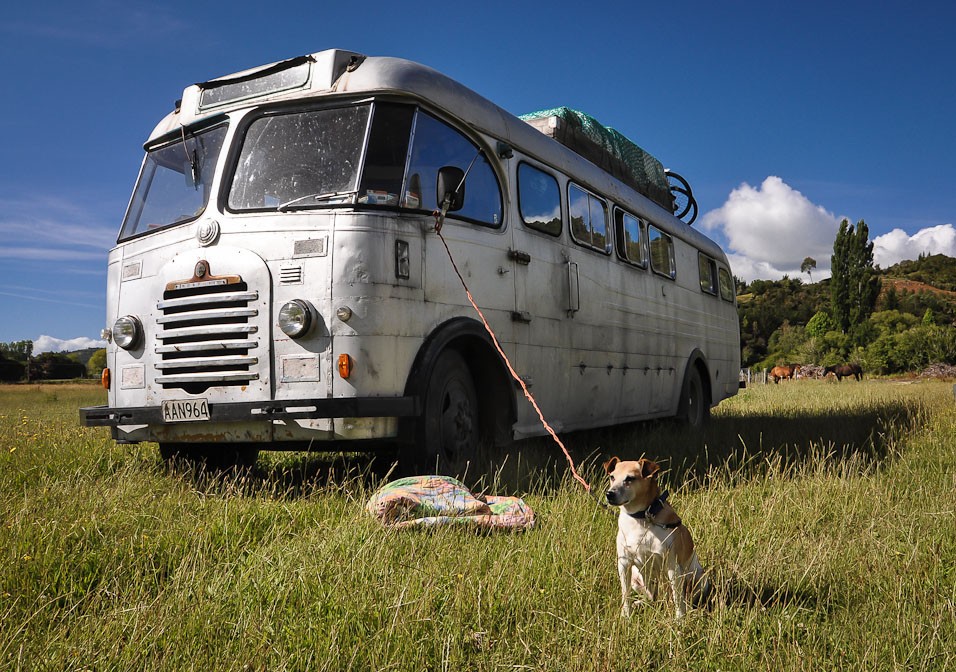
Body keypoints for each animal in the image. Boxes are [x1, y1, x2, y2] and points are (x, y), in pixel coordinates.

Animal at [604, 456, 708, 620]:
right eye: (612, 477)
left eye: (630, 478)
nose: (609, 494)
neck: (640, 518)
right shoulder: (624, 564)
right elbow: (625, 594)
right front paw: (626, 615)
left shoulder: (672, 566)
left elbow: (678, 597)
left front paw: (679, 619)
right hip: (636, 577)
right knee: (651, 598)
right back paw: (641, 603)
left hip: (700, 579)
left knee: (685, 597)